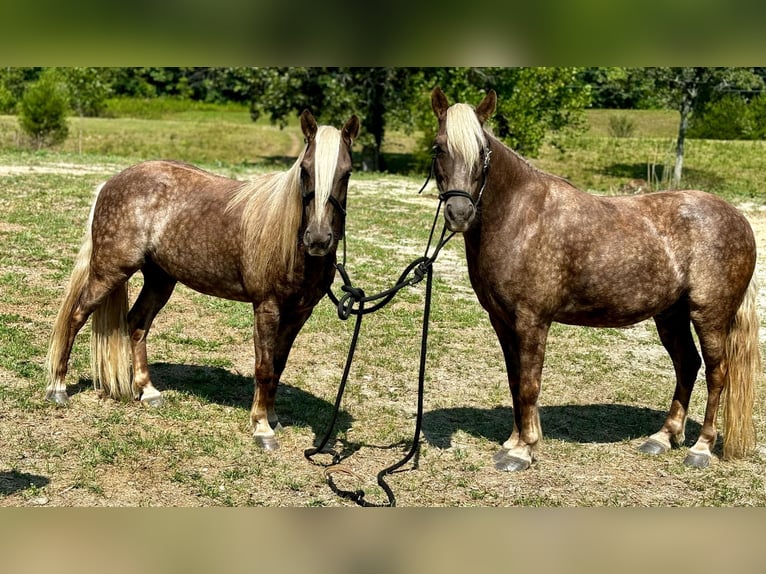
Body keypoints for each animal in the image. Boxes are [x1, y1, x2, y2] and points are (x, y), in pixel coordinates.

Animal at [45, 110, 364, 452]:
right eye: (305, 170)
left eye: (347, 173)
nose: (317, 239)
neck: (289, 239)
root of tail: (110, 182)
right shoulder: (267, 307)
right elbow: (264, 367)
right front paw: (262, 428)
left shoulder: (300, 312)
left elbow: (278, 364)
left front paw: (273, 416)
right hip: (109, 271)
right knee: (76, 316)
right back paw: (58, 388)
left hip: (160, 280)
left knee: (137, 323)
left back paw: (147, 391)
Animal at [432, 86, 760, 472]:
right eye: (438, 147)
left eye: (482, 153)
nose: (459, 213)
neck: (521, 216)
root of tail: (739, 218)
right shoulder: (501, 320)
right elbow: (515, 381)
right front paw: (514, 441)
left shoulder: (532, 320)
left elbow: (529, 384)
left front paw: (522, 450)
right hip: (671, 315)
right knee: (687, 365)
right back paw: (663, 438)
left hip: (709, 315)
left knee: (716, 372)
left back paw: (701, 448)